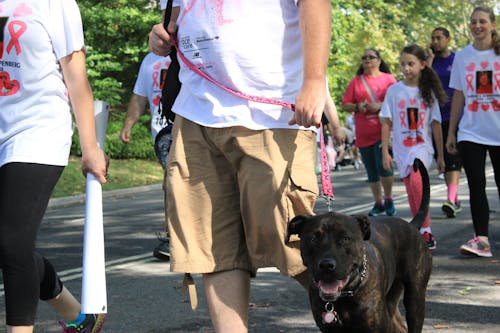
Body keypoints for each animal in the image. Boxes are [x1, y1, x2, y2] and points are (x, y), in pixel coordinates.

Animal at [288, 158, 432, 330]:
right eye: (313, 239)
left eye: (345, 239)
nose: (326, 265)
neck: (344, 296)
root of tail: (411, 225)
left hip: (415, 299)